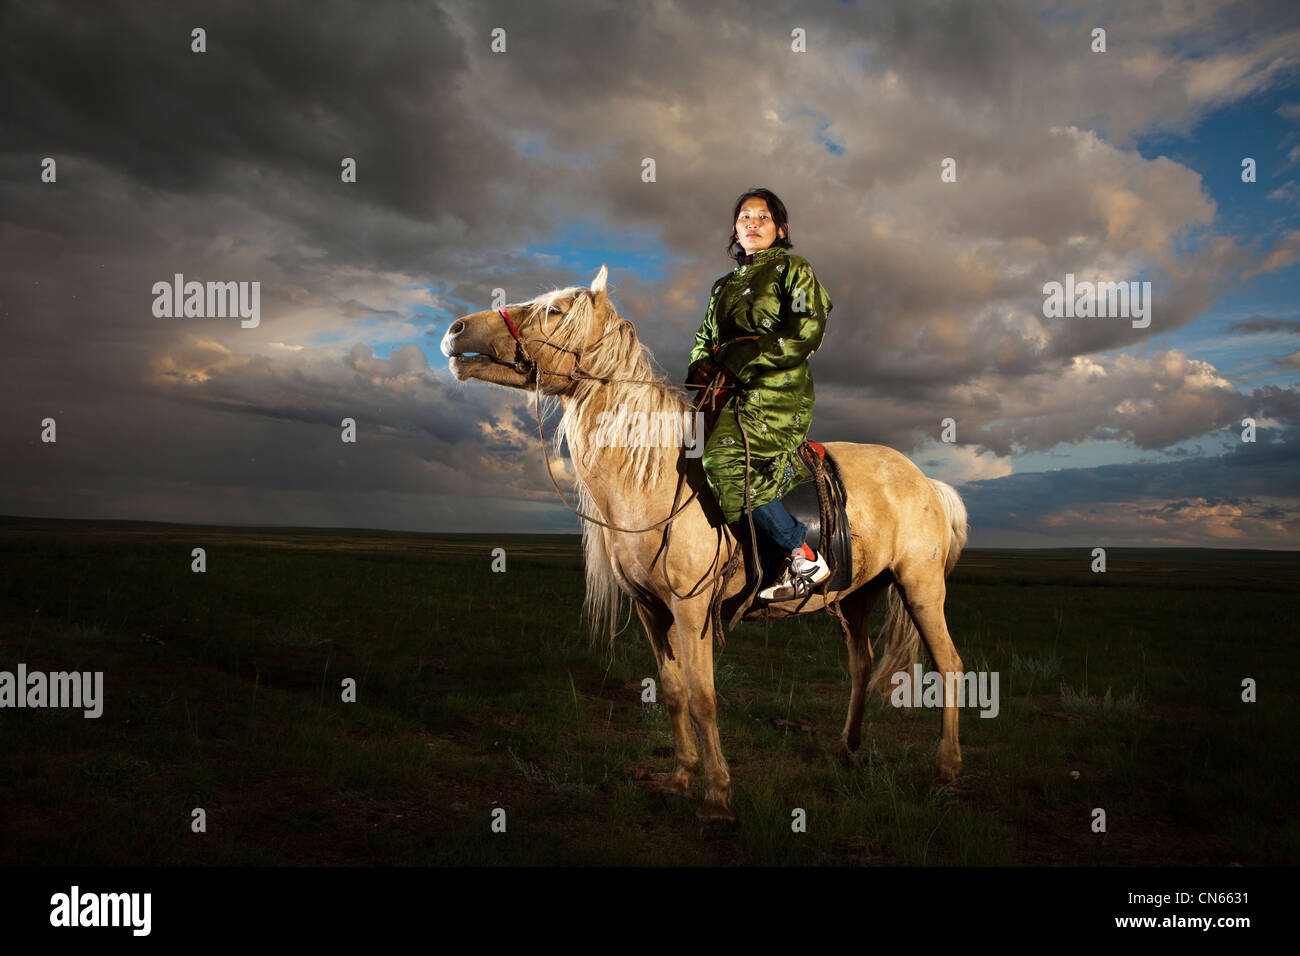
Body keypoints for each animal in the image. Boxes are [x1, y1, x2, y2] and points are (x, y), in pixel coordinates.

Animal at [440, 264, 969, 836]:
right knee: (862, 666)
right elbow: (673, 693)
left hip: (920, 588)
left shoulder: (692, 610)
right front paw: (679, 779)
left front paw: (716, 797)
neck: (650, 477)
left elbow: (704, 698)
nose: (455, 329)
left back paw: (946, 769)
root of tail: (926, 482)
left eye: (555, 310)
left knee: (950, 665)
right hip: (856, 597)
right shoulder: (651, 611)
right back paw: (846, 750)